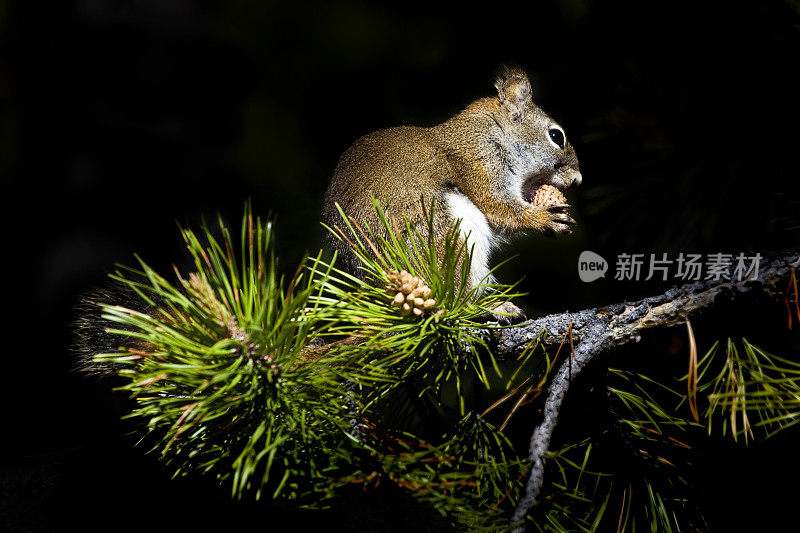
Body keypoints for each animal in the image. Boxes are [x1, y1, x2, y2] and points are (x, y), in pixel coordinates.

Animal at [324, 65, 580, 304]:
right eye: (556, 136)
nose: (577, 180)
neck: (494, 133)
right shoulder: (478, 163)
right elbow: (498, 208)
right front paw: (545, 218)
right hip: (446, 236)